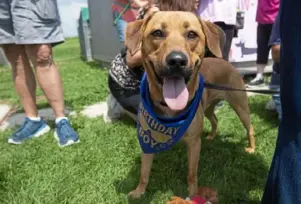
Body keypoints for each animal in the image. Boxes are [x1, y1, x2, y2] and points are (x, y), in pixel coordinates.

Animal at [124, 11, 253, 198]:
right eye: (157, 33)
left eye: (192, 34)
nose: (177, 61)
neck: (169, 109)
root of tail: (225, 61)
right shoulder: (146, 141)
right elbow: (144, 172)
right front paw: (139, 191)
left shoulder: (193, 143)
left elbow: (192, 174)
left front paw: (192, 196)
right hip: (208, 108)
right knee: (215, 120)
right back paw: (211, 136)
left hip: (241, 106)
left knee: (250, 128)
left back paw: (251, 148)